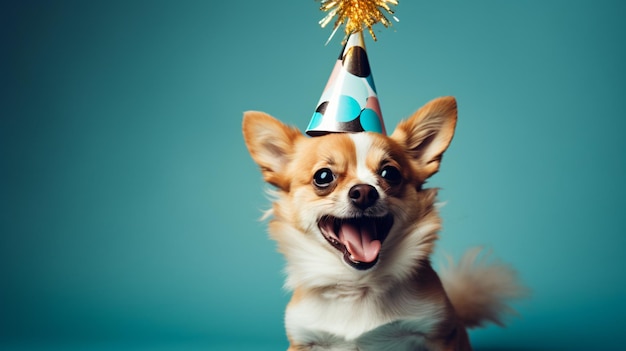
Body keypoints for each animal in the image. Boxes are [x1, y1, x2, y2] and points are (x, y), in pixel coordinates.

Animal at [241, 97, 524, 351]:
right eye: (323, 177)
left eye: (390, 173)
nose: (364, 192)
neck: (359, 286)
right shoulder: (302, 341)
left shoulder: (439, 335)